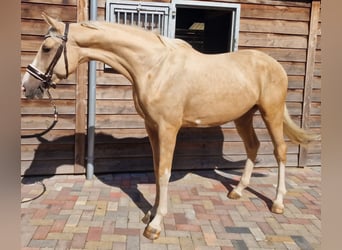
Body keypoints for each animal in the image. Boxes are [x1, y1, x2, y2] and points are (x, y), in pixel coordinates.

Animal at [22, 14, 318, 240]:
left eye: (46, 48)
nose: (27, 86)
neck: (154, 67)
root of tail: (275, 65)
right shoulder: (152, 128)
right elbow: (156, 170)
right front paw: (150, 213)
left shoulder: (167, 129)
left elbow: (164, 173)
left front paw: (155, 225)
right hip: (243, 116)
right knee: (253, 147)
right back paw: (237, 191)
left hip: (271, 113)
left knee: (280, 152)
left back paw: (278, 203)